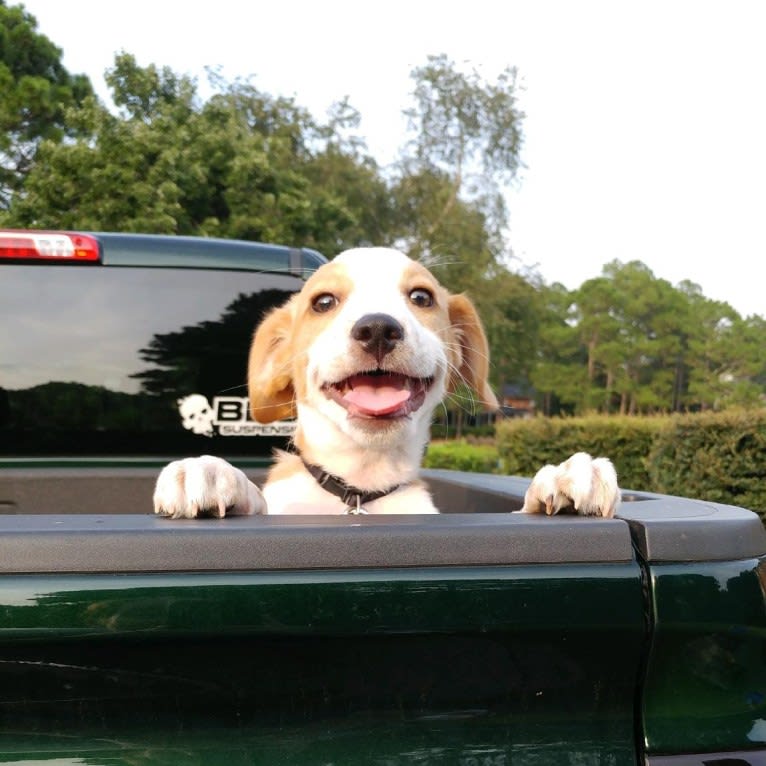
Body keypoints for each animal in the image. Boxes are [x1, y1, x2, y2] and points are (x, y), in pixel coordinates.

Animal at [153, 249, 620, 520]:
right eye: (323, 302)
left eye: (421, 297)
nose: (377, 329)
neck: (360, 490)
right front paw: (210, 471)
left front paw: (565, 475)